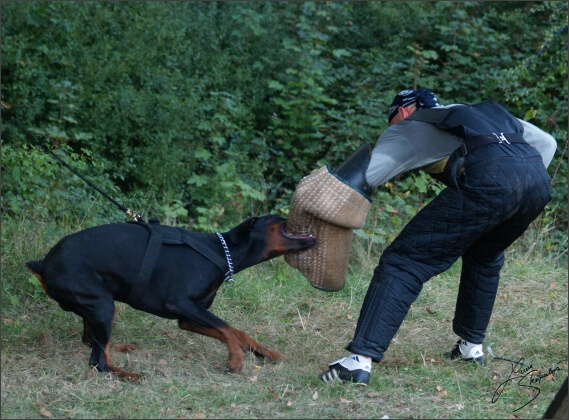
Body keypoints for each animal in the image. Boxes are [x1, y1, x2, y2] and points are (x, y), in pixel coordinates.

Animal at [26, 217, 316, 380]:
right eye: (277, 217)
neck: (223, 252)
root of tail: (43, 264)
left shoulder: (187, 316)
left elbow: (236, 332)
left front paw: (263, 352)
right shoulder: (180, 303)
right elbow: (226, 329)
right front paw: (235, 360)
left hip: (96, 305)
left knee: (92, 341)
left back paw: (122, 348)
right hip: (102, 304)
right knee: (98, 362)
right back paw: (129, 375)